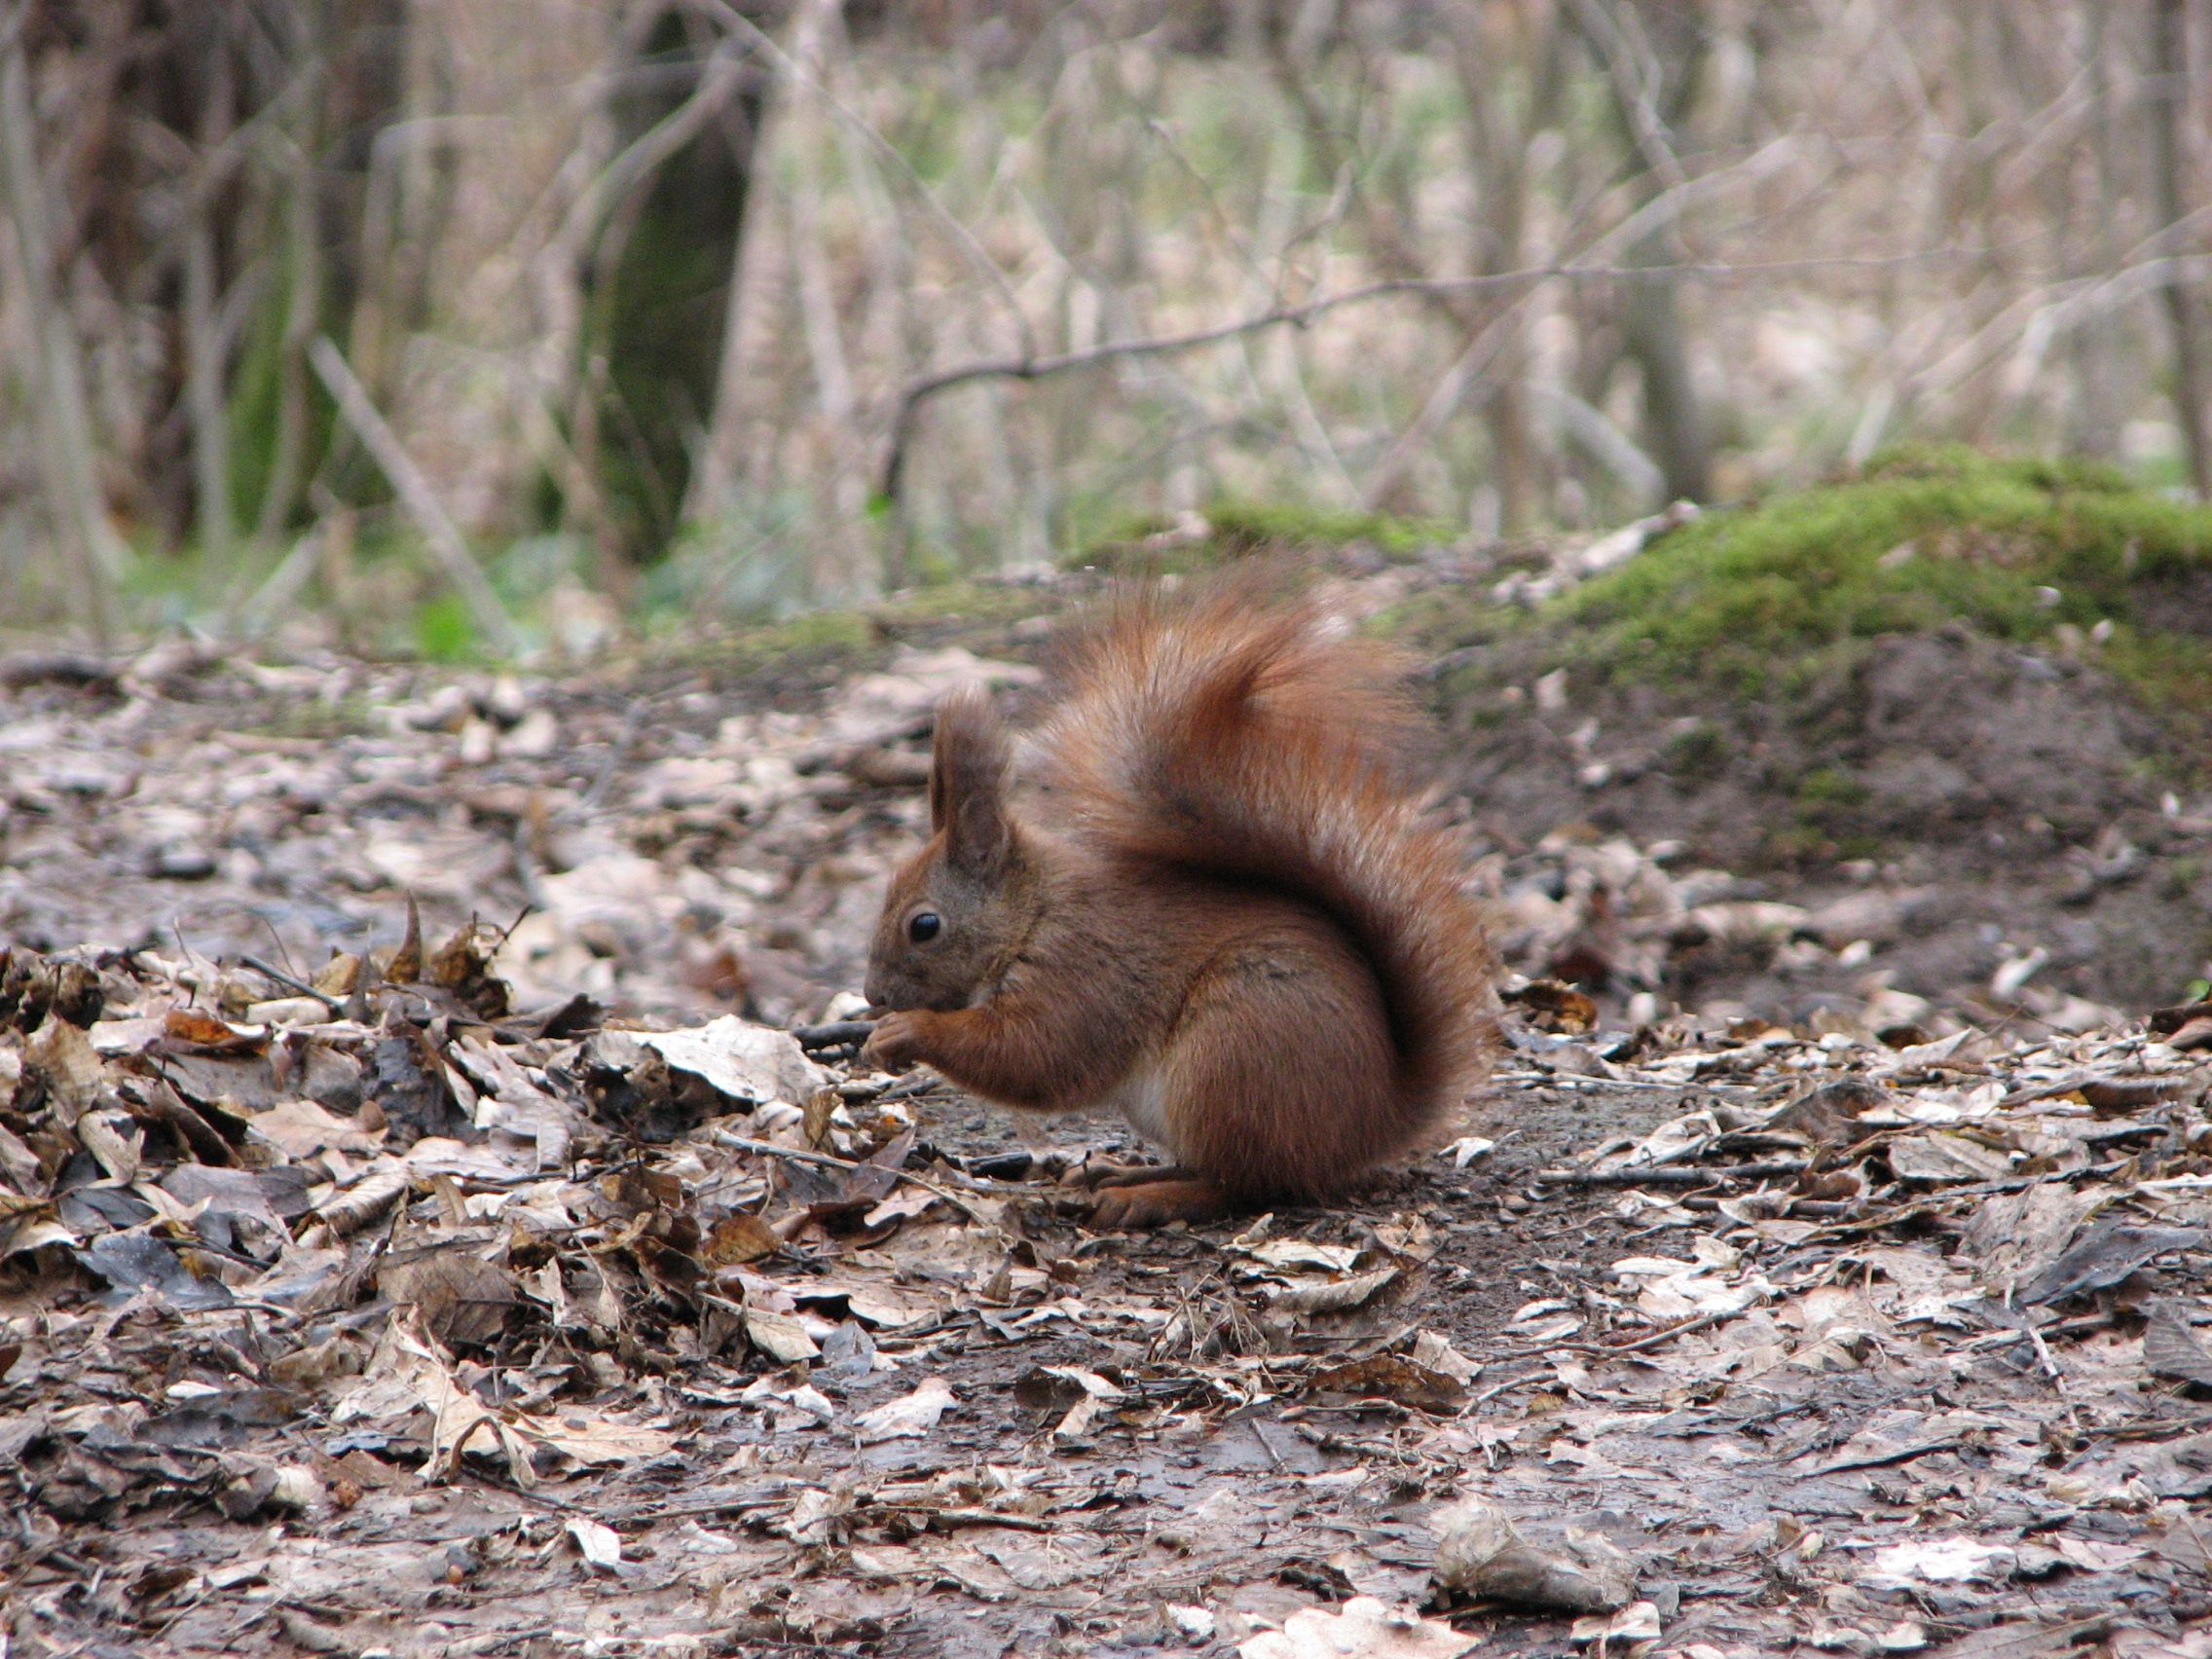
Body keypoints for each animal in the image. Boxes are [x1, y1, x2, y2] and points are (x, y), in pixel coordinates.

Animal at [858, 573, 1499, 1227]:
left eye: (924, 926)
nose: (874, 996)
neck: (1034, 915)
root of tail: (1377, 1122)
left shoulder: (1081, 970)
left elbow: (1034, 1054)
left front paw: (908, 1032)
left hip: (1236, 1052)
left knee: (1246, 1183)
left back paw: (1146, 1198)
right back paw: (1124, 1174)